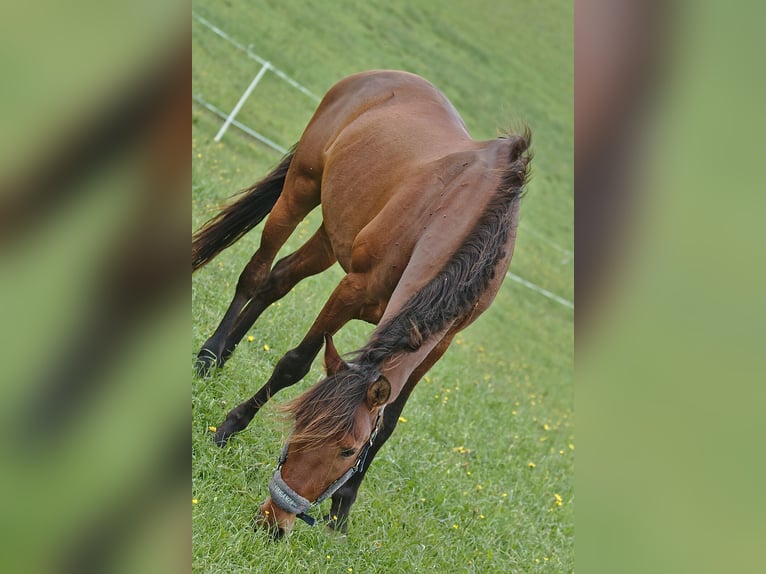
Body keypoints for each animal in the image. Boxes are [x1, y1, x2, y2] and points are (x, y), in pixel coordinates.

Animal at [192, 71, 532, 540]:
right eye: (301, 423)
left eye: (349, 451)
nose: (274, 520)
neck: (463, 214)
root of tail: (371, 78)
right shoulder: (353, 289)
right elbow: (294, 364)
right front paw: (228, 428)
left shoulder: (438, 343)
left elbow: (387, 422)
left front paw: (342, 510)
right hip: (300, 191)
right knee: (256, 274)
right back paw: (210, 355)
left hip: (333, 234)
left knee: (278, 280)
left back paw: (224, 354)